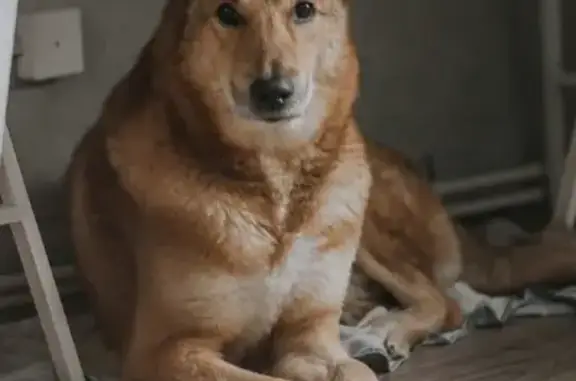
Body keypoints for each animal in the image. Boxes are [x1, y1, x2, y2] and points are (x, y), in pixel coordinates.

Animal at [66, 0, 378, 380]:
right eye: (227, 13)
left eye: (303, 9)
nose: (273, 92)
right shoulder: (164, 350)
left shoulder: (310, 329)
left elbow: (357, 370)